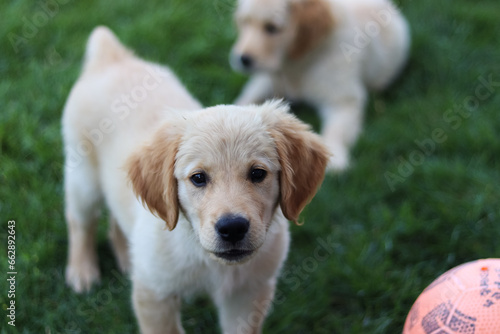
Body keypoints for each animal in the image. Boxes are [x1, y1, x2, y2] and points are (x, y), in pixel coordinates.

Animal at [62, 26, 330, 334]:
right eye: (198, 178)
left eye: (258, 173)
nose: (232, 228)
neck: (206, 257)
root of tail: (114, 58)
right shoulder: (155, 293)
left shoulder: (248, 294)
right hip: (82, 176)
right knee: (80, 221)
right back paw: (82, 271)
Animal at [230, 0, 410, 171]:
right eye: (244, 23)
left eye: (272, 28)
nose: (242, 59)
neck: (297, 63)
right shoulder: (269, 80)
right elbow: (246, 99)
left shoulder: (343, 99)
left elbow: (337, 129)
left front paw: (336, 159)